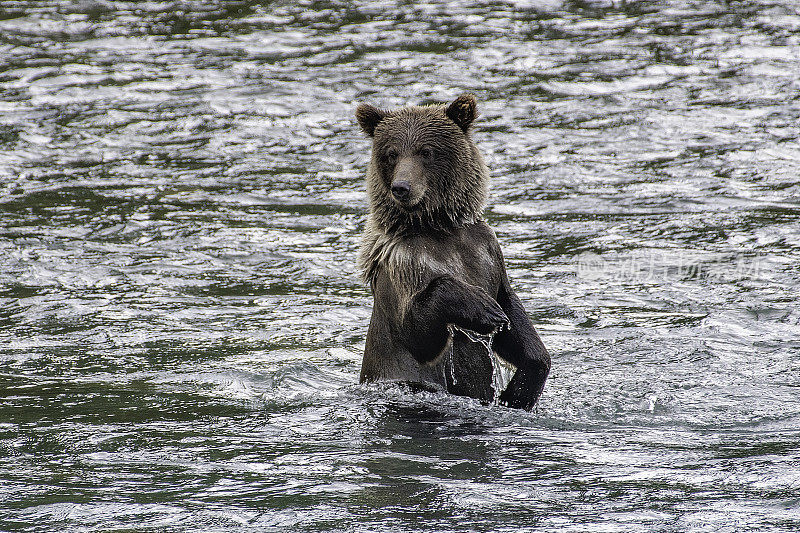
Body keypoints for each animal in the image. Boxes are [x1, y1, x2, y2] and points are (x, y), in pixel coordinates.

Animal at [356, 93, 552, 410]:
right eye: (391, 153)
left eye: (426, 151)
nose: (401, 187)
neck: (439, 228)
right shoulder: (404, 263)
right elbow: (416, 331)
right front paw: (484, 308)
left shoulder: (487, 251)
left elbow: (512, 312)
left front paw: (518, 390)